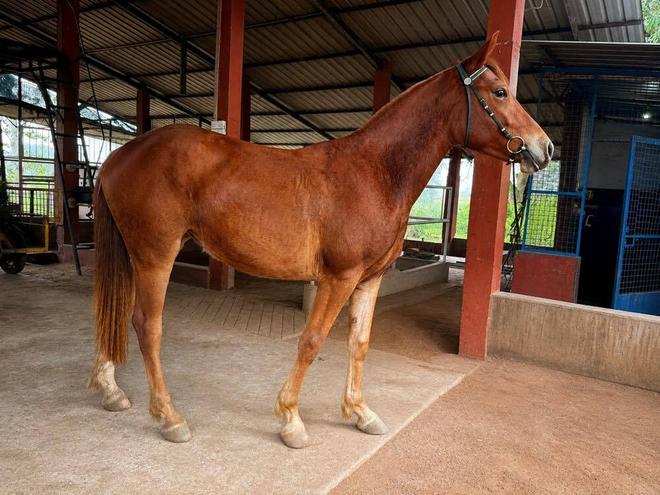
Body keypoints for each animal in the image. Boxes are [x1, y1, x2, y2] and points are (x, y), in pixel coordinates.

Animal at [88, 33, 553, 448]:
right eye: (500, 92)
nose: (544, 148)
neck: (375, 173)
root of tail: (119, 156)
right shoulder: (338, 277)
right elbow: (312, 341)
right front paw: (291, 419)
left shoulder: (370, 279)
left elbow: (359, 344)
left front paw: (360, 412)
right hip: (156, 255)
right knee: (147, 326)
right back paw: (170, 417)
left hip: (135, 255)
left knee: (114, 311)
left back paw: (111, 390)